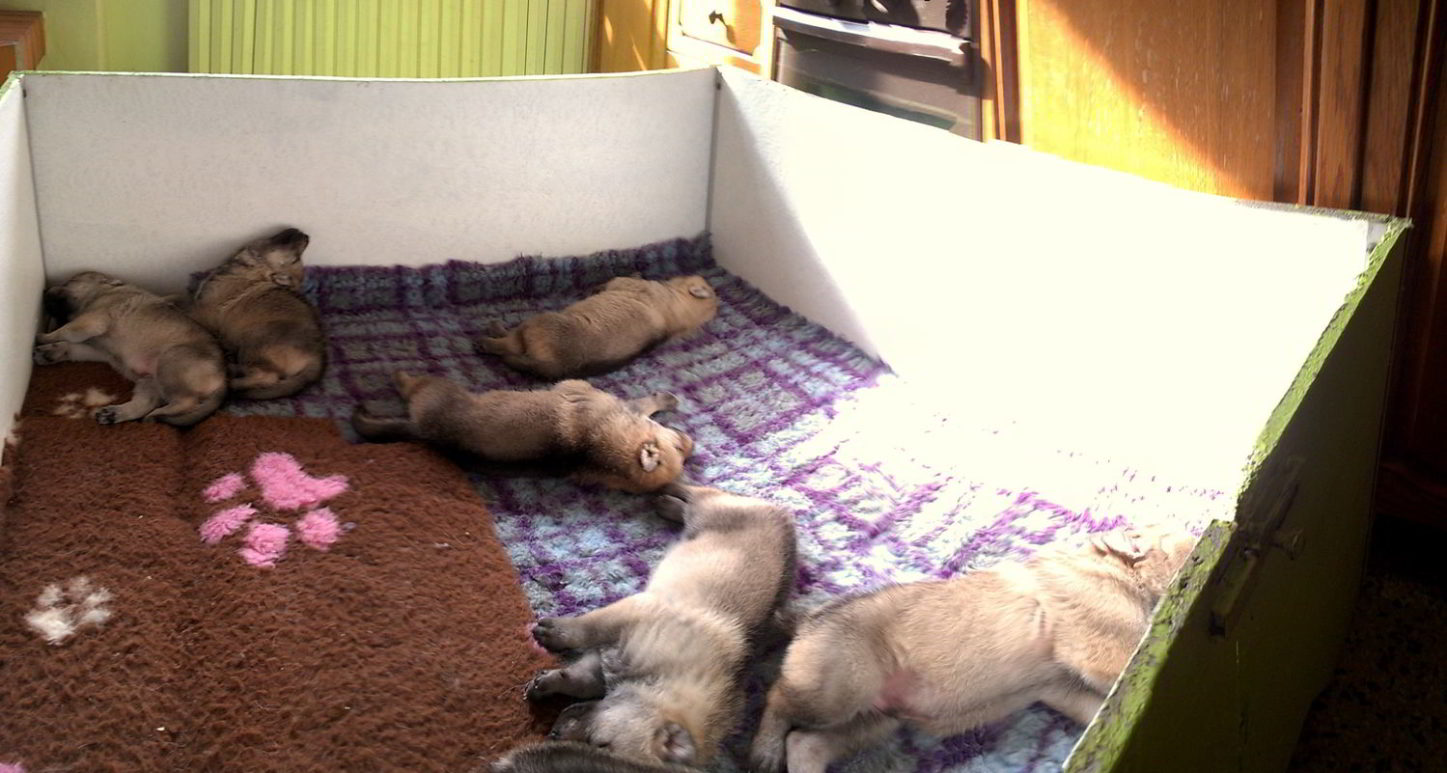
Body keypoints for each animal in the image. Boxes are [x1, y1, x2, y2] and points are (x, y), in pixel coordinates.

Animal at [33, 271, 227, 426]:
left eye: (70, 282)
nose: (43, 290)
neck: (101, 292)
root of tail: (224, 380)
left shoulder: (90, 321)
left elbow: (65, 331)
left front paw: (42, 337)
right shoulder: (98, 350)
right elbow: (71, 346)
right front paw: (50, 351)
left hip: (170, 362)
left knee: (186, 402)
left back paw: (156, 415)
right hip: (149, 382)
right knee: (142, 405)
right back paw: (114, 414)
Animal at [188, 227, 326, 399]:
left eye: (295, 259)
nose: (306, 235)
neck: (256, 267)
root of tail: (317, 358)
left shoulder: (203, 311)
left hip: (254, 339)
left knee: (268, 377)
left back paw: (233, 383)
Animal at [351, 374, 695, 493]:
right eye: (679, 448)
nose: (692, 442)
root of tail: (424, 432)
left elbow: (644, 402)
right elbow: (646, 406)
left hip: (435, 389)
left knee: (412, 386)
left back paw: (400, 375)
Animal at [523, 484, 798, 768]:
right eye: (602, 744)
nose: (554, 734)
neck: (662, 682)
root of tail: (784, 516)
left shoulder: (610, 659)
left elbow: (583, 679)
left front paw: (550, 682)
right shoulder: (628, 617)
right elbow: (585, 629)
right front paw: (553, 634)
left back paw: (669, 505)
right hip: (712, 509)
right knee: (699, 491)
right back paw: (668, 490)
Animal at [747, 528, 1198, 773]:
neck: (1114, 567)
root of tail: (806, 618)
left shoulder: (1060, 687)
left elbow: (1104, 708)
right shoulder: (1103, 647)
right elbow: (1136, 661)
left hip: (872, 720)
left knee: (806, 743)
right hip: (836, 687)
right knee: (778, 700)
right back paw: (763, 749)